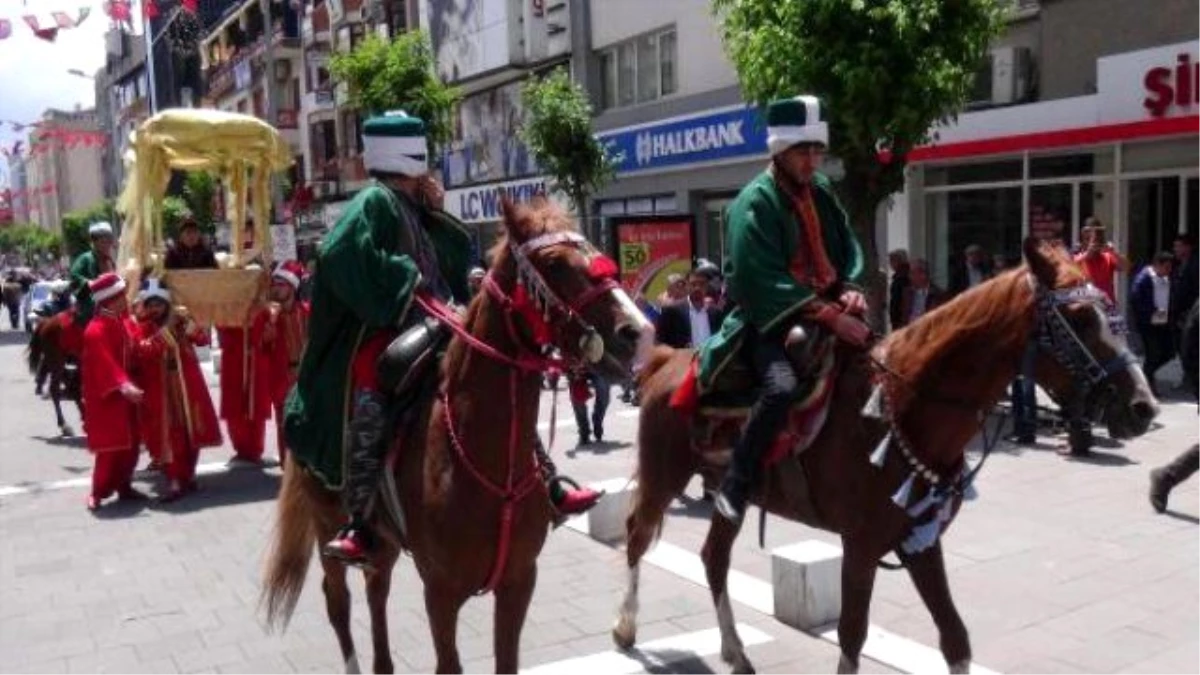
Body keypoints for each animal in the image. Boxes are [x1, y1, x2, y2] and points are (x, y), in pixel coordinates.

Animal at [27, 309, 84, 437]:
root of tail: (46, 322)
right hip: (57, 360)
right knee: (56, 388)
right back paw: (65, 426)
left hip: (57, 361)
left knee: (69, 383)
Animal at [262, 195, 652, 672]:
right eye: (554, 262)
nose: (636, 331)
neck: (484, 461)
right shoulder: (441, 592)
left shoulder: (519, 580)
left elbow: (507, 658)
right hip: (325, 523)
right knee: (338, 600)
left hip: (382, 541)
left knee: (376, 590)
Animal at [614, 234, 1156, 667]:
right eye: (1078, 317)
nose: (1143, 407)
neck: (904, 405)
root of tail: (665, 358)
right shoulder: (861, 543)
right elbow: (852, 635)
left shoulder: (920, 539)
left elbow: (955, 638)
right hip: (665, 476)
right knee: (637, 536)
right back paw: (626, 629)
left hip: (733, 494)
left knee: (713, 558)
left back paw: (734, 651)